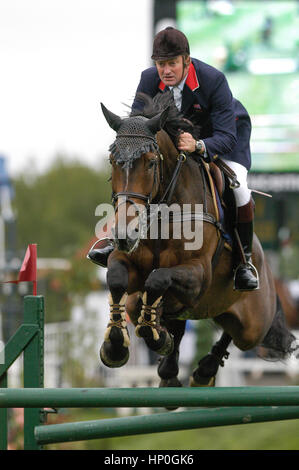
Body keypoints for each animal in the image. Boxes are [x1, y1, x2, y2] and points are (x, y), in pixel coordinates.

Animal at [96, 92, 298, 390]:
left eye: (151, 162)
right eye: (113, 161)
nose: (124, 234)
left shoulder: (198, 274)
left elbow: (157, 279)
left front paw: (153, 332)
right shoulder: (126, 263)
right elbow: (118, 279)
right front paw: (116, 346)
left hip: (253, 324)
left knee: (233, 336)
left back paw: (203, 370)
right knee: (177, 322)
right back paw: (169, 367)